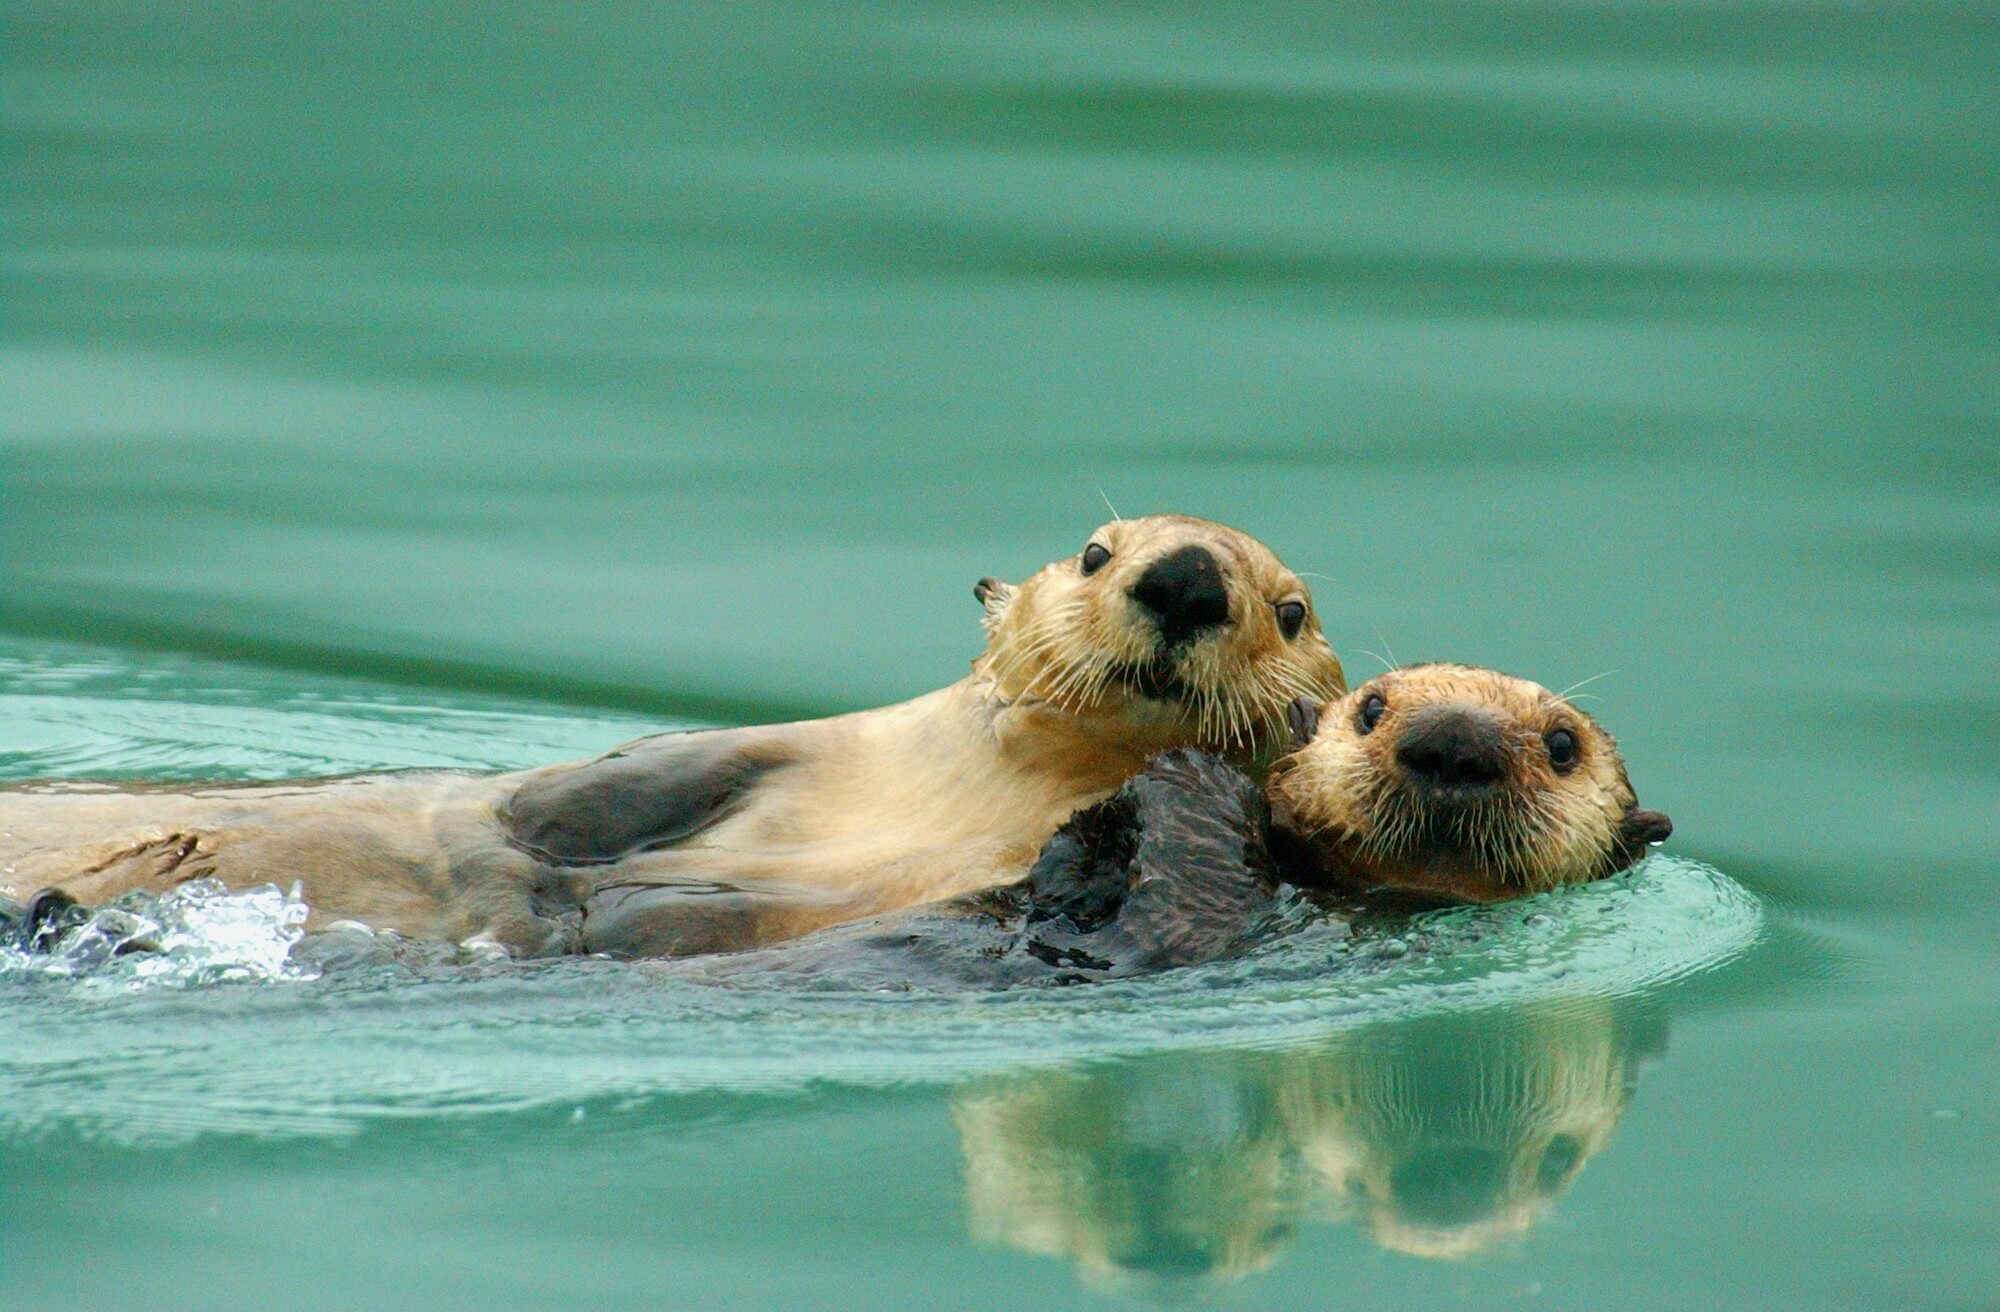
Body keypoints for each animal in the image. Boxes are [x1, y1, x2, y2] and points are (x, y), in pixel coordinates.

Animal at [0, 517, 1345, 957]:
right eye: (1092, 550)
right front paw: (546, 859)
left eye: (1291, 610)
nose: (1185, 575)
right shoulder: (798, 743)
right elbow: (610, 788)